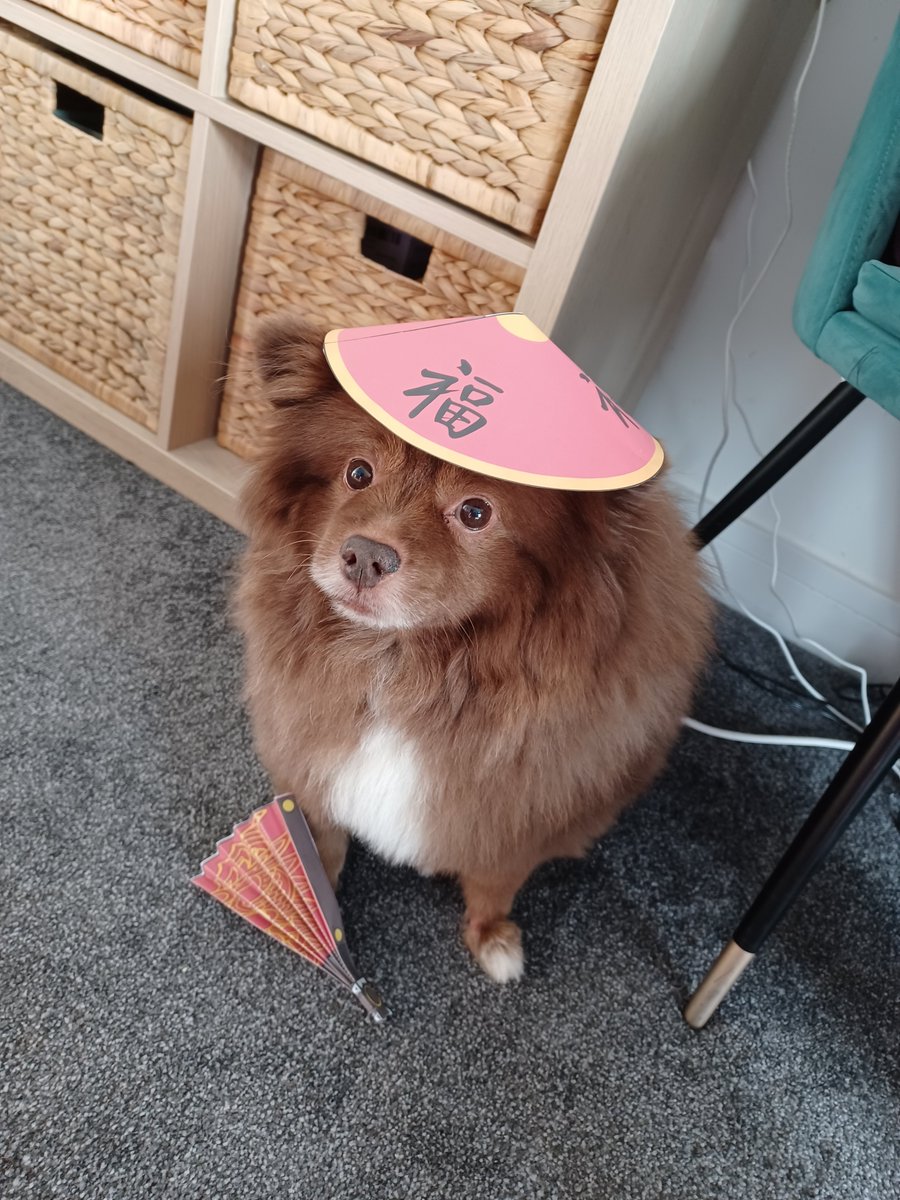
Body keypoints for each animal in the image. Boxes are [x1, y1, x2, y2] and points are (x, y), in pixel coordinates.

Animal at [236, 319, 715, 984]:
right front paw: (311, 889)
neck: (403, 667)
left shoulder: (511, 818)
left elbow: (495, 883)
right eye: (358, 474)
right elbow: (324, 835)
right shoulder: (310, 751)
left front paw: (492, 939)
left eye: (475, 512)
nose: (365, 554)